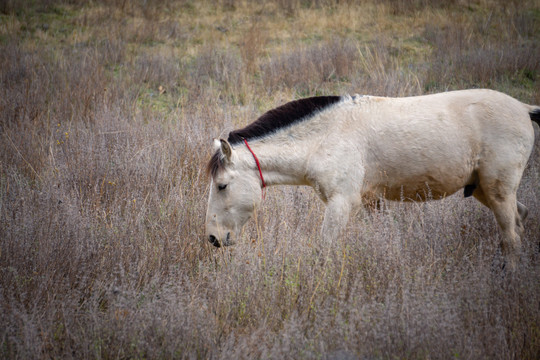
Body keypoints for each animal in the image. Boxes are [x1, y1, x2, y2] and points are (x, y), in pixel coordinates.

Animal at [205, 89, 536, 268]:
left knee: (512, 239)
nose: (213, 238)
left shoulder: (342, 203)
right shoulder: (371, 202)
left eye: (222, 186)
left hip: (498, 192)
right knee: (520, 219)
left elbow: (325, 248)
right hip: (484, 190)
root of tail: (524, 107)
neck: (326, 136)